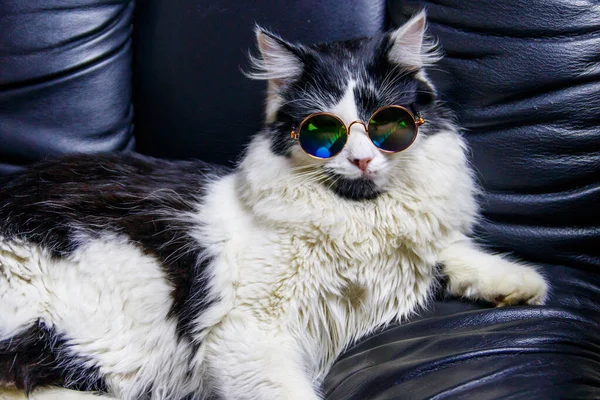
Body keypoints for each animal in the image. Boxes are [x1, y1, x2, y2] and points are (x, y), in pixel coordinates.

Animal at [0, 11, 548, 400]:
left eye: (386, 124)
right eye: (322, 132)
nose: (362, 158)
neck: (358, 216)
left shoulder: (412, 248)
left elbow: (452, 251)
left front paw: (521, 285)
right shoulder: (249, 334)